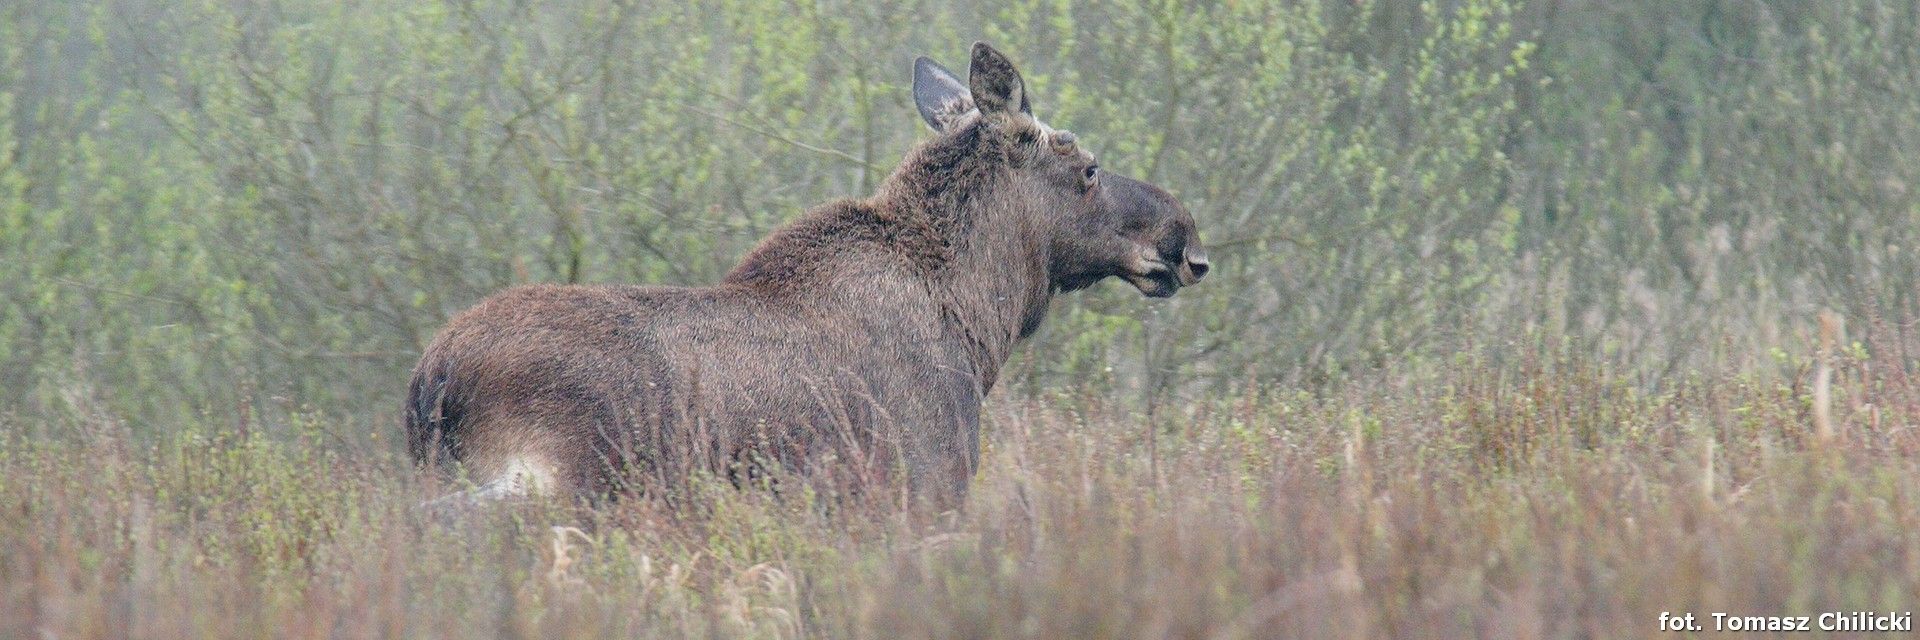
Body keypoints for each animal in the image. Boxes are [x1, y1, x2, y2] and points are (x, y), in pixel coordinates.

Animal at [407, 42, 1205, 511]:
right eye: (1088, 169)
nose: (1186, 240)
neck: (982, 323)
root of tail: (430, 379)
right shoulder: (923, 486)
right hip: (545, 485)